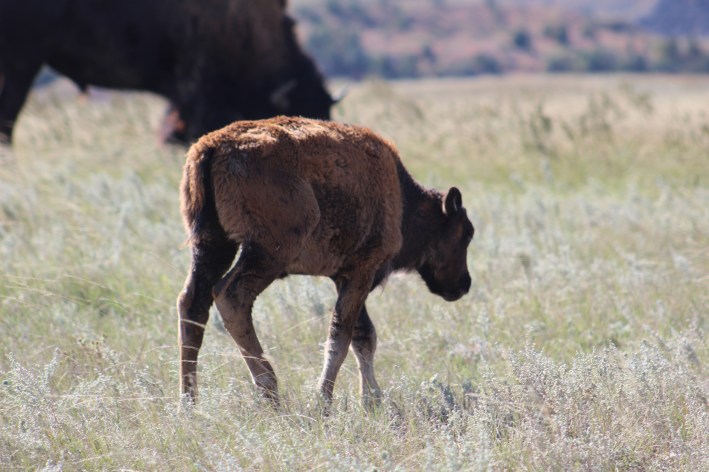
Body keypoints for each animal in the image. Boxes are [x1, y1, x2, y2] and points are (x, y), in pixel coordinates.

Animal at [177, 116, 474, 408]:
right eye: (467, 233)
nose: (464, 284)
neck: (401, 197)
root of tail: (211, 147)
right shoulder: (362, 271)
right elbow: (340, 338)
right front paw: (324, 401)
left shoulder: (344, 277)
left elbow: (363, 337)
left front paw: (372, 400)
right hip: (267, 254)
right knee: (231, 297)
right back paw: (271, 392)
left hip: (213, 244)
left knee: (193, 304)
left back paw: (189, 402)